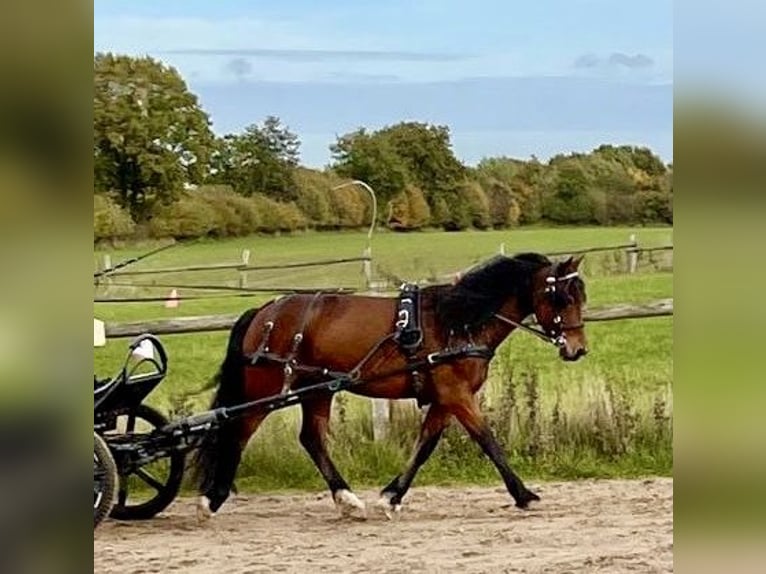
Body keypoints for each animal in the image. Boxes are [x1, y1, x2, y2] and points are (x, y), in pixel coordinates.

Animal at [192, 254, 588, 520]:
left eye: (581, 297)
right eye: (562, 297)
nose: (577, 349)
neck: (455, 323)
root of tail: (264, 311)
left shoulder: (443, 399)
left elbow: (425, 445)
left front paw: (392, 495)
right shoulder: (456, 395)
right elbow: (487, 440)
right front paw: (524, 494)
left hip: (318, 389)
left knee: (311, 438)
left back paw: (347, 499)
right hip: (266, 390)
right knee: (238, 432)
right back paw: (212, 498)